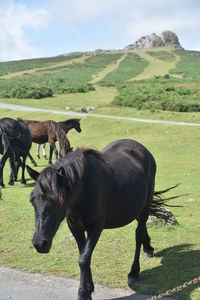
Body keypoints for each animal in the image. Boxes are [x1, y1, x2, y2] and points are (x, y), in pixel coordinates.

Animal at [27, 139, 177, 300]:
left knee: (139, 234)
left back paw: (134, 272)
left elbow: (84, 258)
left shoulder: (95, 227)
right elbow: (83, 256)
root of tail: (142, 149)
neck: (83, 189)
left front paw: (83, 293)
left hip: (145, 208)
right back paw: (148, 248)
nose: (39, 243)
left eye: (57, 201)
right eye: (32, 200)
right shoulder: (75, 228)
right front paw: (88, 289)